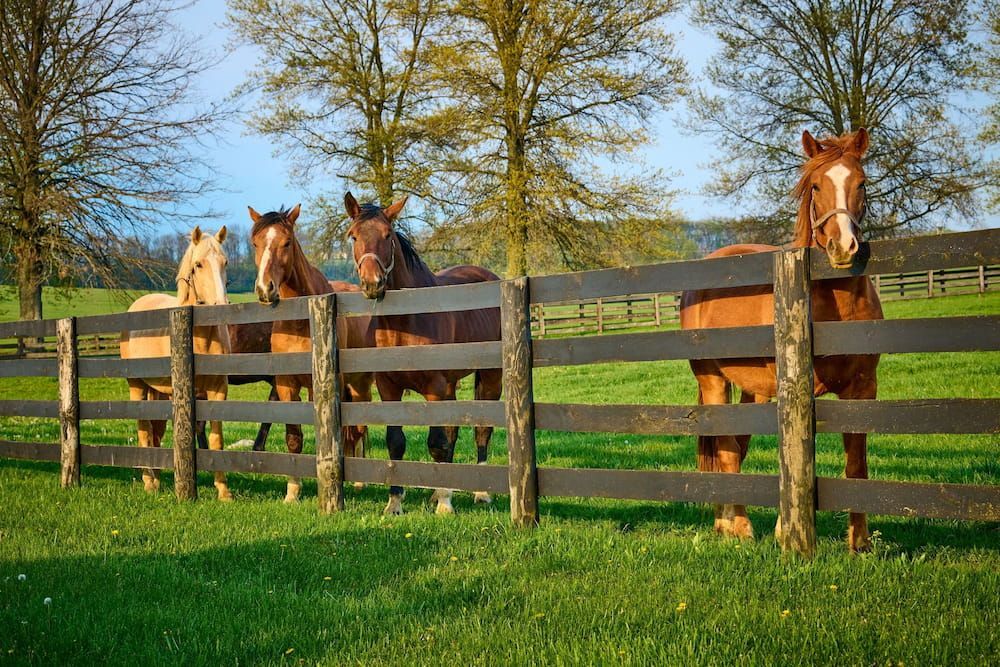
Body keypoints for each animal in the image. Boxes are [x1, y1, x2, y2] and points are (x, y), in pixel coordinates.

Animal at [120, 226, 234, 501]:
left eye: (225, 262)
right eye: (198, 264)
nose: (221, 306)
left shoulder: (217, 390)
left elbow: (216, 439)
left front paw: (223, 491)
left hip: (157, 392)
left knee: (155, 432)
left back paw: (158, 478)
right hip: (137, 386)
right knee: (144, 430)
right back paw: (149, 482)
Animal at [249, 204, 374, 502]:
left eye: (286, 242)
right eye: (256, 243)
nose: (265, 289)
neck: (300, 321)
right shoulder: (286, 385)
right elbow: (293, 437)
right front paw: (292, 492)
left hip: (360, 385)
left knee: (358, 429)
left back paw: (359, 482)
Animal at [344, 192, 502, 515]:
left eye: (387, 235)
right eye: (353, 236)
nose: (372, 283)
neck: (406, 321)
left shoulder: (434, 388)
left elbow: (437, 442)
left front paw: (444, 504)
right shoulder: (389, 389)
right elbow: (396, 441)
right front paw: (395, 503)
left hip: (491, 377)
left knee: (482, 429)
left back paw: (481, 492)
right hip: (452, 384)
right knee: (454, 430)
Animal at [679, 128, 882, 552]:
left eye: (861, 183)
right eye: (816, 185)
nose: (843, 247)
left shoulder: (863, 389)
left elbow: (857, 464)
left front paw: (860, 542)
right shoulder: (792, 390)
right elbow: (791, 457)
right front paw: (783, 530)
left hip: (751, 389)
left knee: (735, 445)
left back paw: (724, 523)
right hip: (713, 380)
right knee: (726, 449)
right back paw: (740, 527)